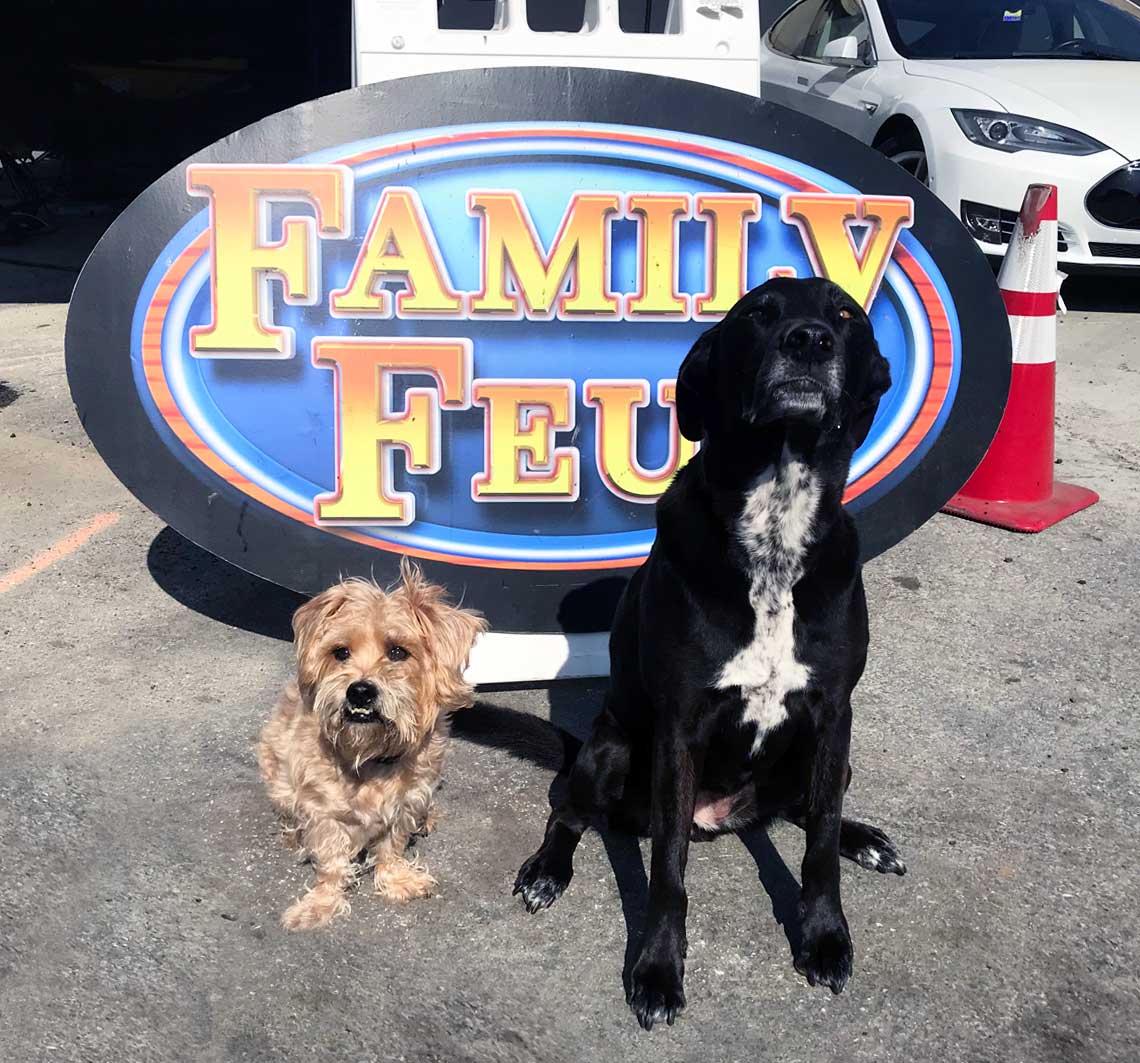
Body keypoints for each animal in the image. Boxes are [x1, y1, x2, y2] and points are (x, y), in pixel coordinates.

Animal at [258, 565, 485, 930]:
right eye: (340, 652)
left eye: (397, 652)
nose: (360, 691)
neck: (369, 757)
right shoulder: (323, 812)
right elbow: (332, 862)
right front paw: (321, 903)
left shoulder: (406, 803)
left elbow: (392, 847)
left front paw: (397, 879)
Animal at [517, 276, 907, 1031]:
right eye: (759, 312)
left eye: (846, 314)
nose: (808, 340)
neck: (776, 534)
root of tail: (721, 816)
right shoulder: (680, 728)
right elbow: (667, 871)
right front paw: (657, 971)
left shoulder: (835, 714)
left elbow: (819, 846)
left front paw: (824, 936)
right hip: (610, 750)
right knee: (569, 810)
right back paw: (548, 870)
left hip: (825, 757)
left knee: (810, 810)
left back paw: (864, 837)